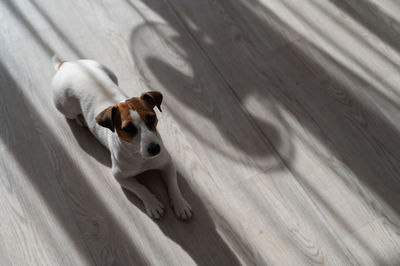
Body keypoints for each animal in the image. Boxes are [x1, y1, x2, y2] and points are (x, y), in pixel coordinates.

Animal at [50, 56, 192, 220]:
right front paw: (152, 203)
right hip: (65, 105)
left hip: (110, 73)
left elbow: (173, 185)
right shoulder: (120, 176)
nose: (155, 149)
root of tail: (66, 64)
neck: (139, 156)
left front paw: (180, 203)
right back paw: (80, 120)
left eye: (151, 118)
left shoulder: (167, 163)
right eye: (128, 128)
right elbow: (140, 188)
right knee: (72, 115)